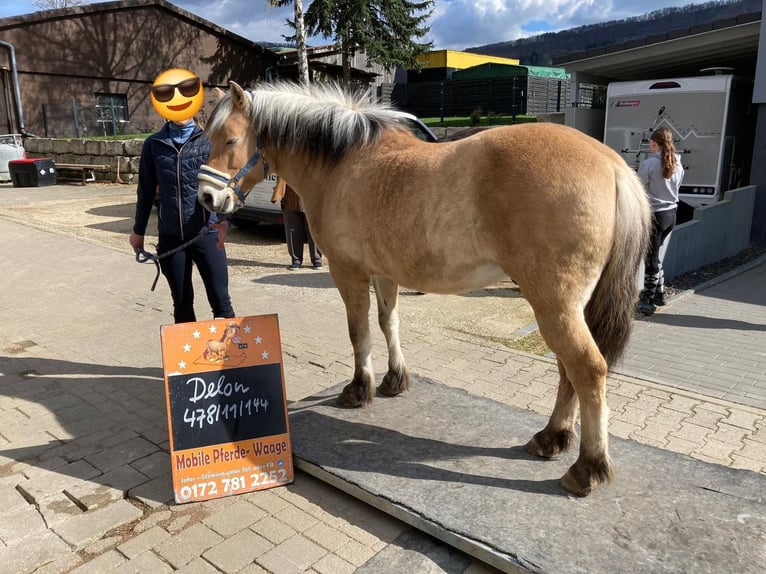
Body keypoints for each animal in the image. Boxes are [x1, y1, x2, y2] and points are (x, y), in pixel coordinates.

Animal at [197, 81, 651, 497]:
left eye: (231, 139)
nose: (206, 198)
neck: (342, 163)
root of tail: (612, 164)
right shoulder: (384, 273)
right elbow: (388, 324)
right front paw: (394, 380)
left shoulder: (348, 272)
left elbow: (359, 332)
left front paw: (359, 390)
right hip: (567, 305)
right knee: (566, 370)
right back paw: (552, 438)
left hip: (553, 303)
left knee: (587, 370)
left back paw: (587, 468)